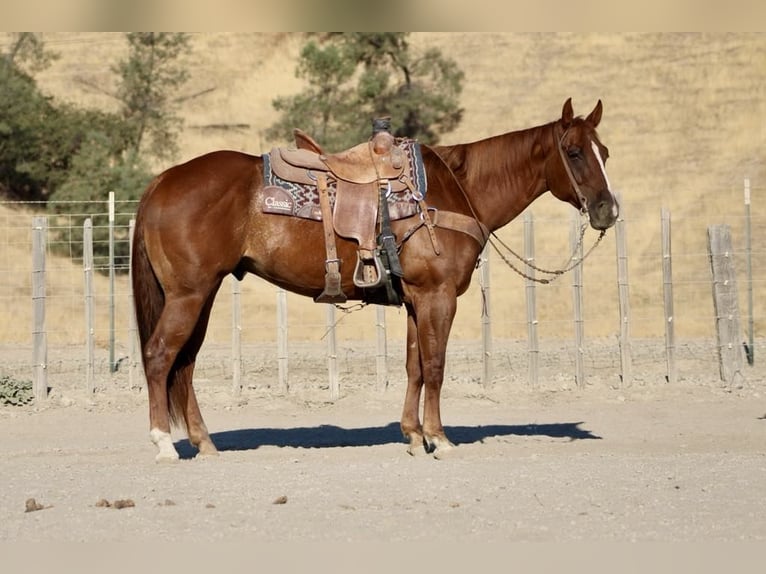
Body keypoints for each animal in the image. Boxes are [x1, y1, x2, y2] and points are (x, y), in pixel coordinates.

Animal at [132, 97, 620, 462]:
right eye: (574, 152)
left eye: (606, 153)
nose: (607, 209)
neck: (453, 190)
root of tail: (162, 180)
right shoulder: (438, 296)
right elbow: (436, 366)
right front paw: (439, 438)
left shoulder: (416, 300)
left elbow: (415, 367)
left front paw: (413, 435)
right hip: (188, 294)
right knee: (160, 357)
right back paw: (163, 443)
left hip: (202, 294)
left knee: (185, 363)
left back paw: (204, 442)